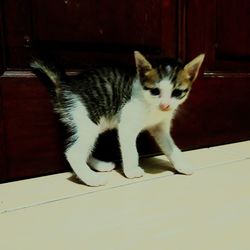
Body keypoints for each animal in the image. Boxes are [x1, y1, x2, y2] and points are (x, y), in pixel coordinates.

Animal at [30, 51, 204, 187]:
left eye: (177, 93)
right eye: (155, 91)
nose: (165, 105)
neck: (151, 106)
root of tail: (67, 83)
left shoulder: (160, 128)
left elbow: (171, 147)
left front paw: (182, 165)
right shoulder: (127, 125)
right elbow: (131, 150)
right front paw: (132, 171)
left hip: (95, 123)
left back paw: (100, 165)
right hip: (86, 118)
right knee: (73, 152)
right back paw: (92, 179)